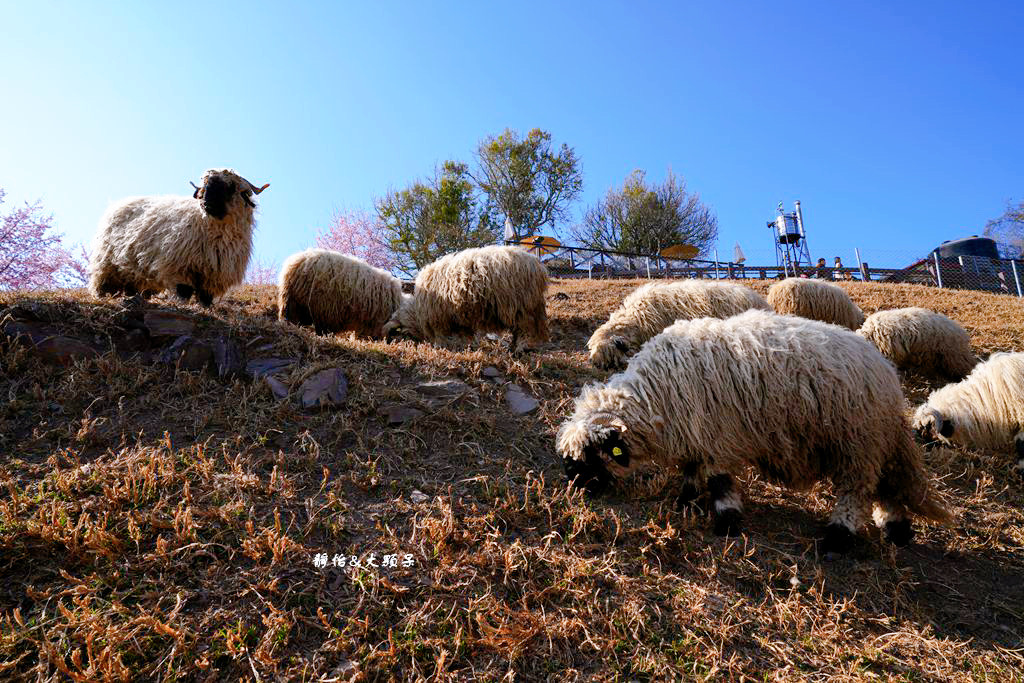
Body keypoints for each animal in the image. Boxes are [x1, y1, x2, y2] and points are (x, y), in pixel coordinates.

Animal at [88, 166, 270, 305]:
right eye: (205, 186)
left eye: (230, 186)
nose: (206, 203)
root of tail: (118, 204)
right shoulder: (179, 266)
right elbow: (183, 291)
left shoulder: (212, 276)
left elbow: (205, 299)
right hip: (106, 265)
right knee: (103, 285)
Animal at [382, 245, 548, 352]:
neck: (418, 310)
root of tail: (536, 264)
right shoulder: (459, 317)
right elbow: (464, 334)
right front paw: (467, 345)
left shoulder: (440, 318)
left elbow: (443, 336)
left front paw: (443, 346)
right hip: (530, 304)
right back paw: (513, 347)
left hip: (520, 305)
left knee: (525, 329)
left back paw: (521, 347)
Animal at [557, 309, 946, 557]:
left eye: (589, 455)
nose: (575, 488)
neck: (658, 395)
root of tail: (886, 372)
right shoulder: (696, 437)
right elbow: (691, 472)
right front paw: (686, 500)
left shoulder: (718, 438)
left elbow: (719, 481)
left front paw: (726, 521)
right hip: (870, 442)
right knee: (887, 490)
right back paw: (897, 532)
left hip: (857, 442)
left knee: (857, 491)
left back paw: (839, 538)